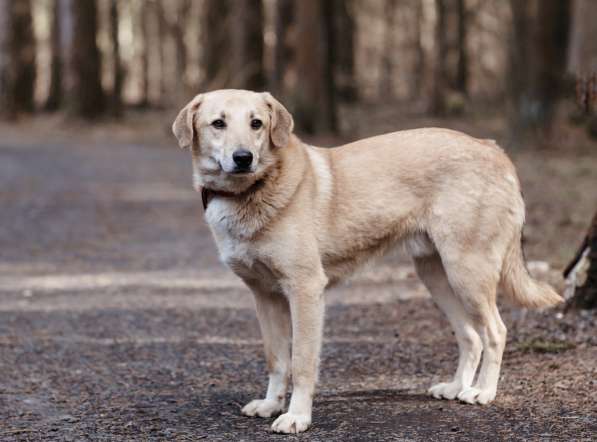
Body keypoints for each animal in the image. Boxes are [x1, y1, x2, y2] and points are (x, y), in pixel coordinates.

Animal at [170, 88, 560, 434]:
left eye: (256, 124)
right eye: (218, 123)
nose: (243, 157)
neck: (252, 192)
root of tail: (492, 147)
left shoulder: (305, 290)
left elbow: (302, 363)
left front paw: (297, 417)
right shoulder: (264, 296)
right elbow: (277, 359)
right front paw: (270, 404)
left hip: (467, 272)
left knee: (495, 331)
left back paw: (483, 391)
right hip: (437, 275)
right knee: (470, 336)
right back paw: (457, 387)